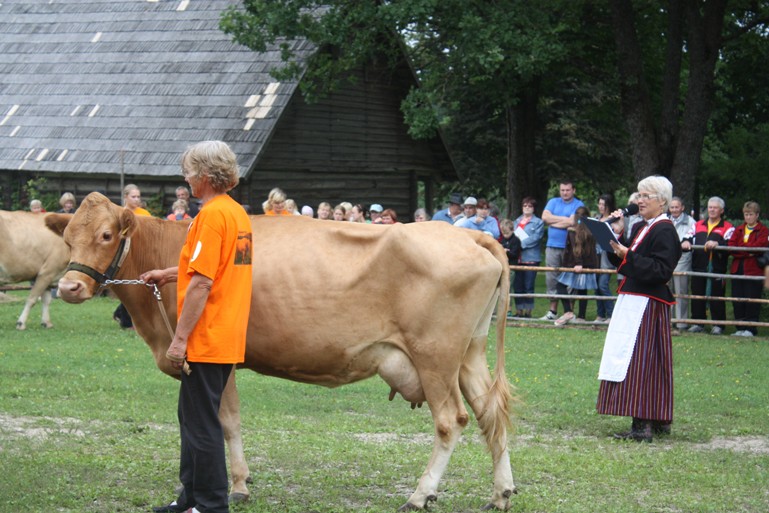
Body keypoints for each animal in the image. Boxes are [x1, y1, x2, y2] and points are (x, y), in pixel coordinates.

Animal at [46, 191, 516, 508]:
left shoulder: (212, 359)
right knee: (491, 415)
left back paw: (421, 494)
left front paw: (236, 485)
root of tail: (470, 237)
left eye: (107, 234)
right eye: (67, 238)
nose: (69, 287)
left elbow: (224, 422)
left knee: (451, 421)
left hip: (435, 356)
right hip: (469, 354)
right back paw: (501, 492)